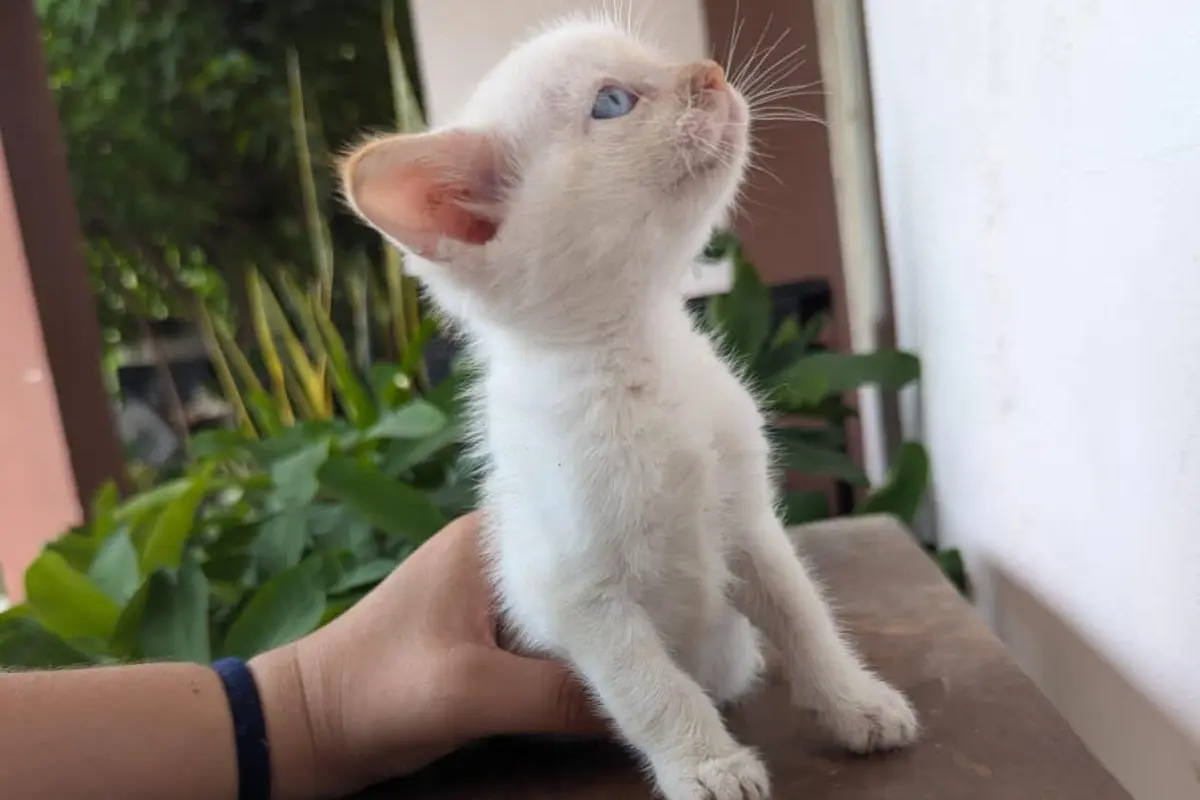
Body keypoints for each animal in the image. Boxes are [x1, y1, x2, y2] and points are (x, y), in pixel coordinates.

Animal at [338, 14, 916, 800]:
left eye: (659, 61)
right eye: (612, 102)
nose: (709, 72)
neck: (641, 359)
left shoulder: (751, 524)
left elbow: (804, 615)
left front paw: (855, 700)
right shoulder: (570, 593)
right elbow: (652, 687)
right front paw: (706, 762)